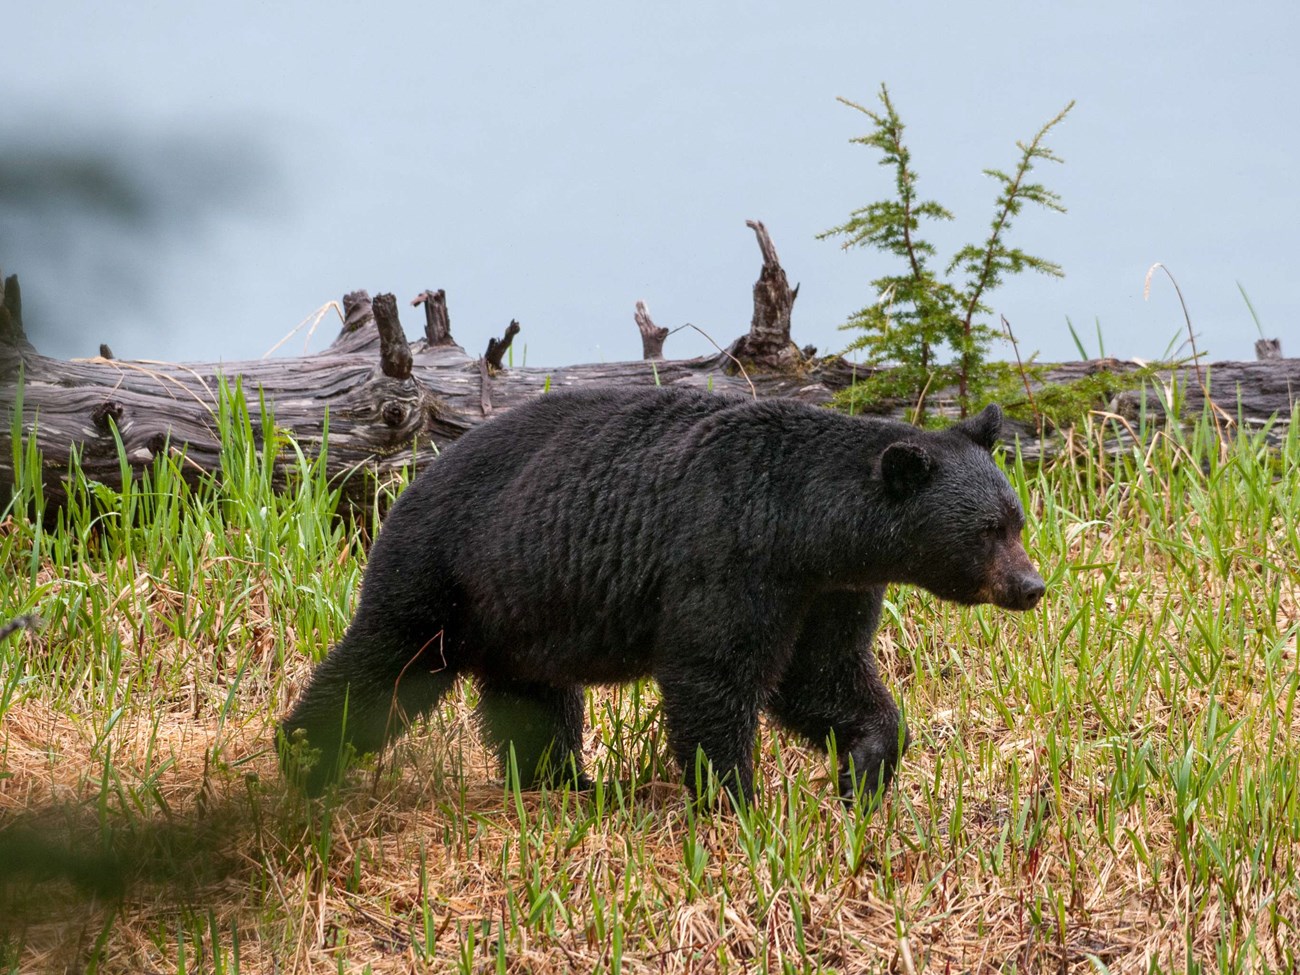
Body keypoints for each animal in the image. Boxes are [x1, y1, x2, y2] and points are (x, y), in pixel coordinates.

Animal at [279, 385, 1045, 804]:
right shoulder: (730, 556)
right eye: (987, 530)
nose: (1031, 586)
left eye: (1016, 518)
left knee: (534, 703)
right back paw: (302, 755)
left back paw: (567, 782)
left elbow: (823, 676)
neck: (805, 526)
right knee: (385, 664)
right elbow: (715, 671)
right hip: (444, 573)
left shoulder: (830, 590)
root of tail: (409, 483)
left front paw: (864, 767)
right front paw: (736, 795)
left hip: (522, 612)